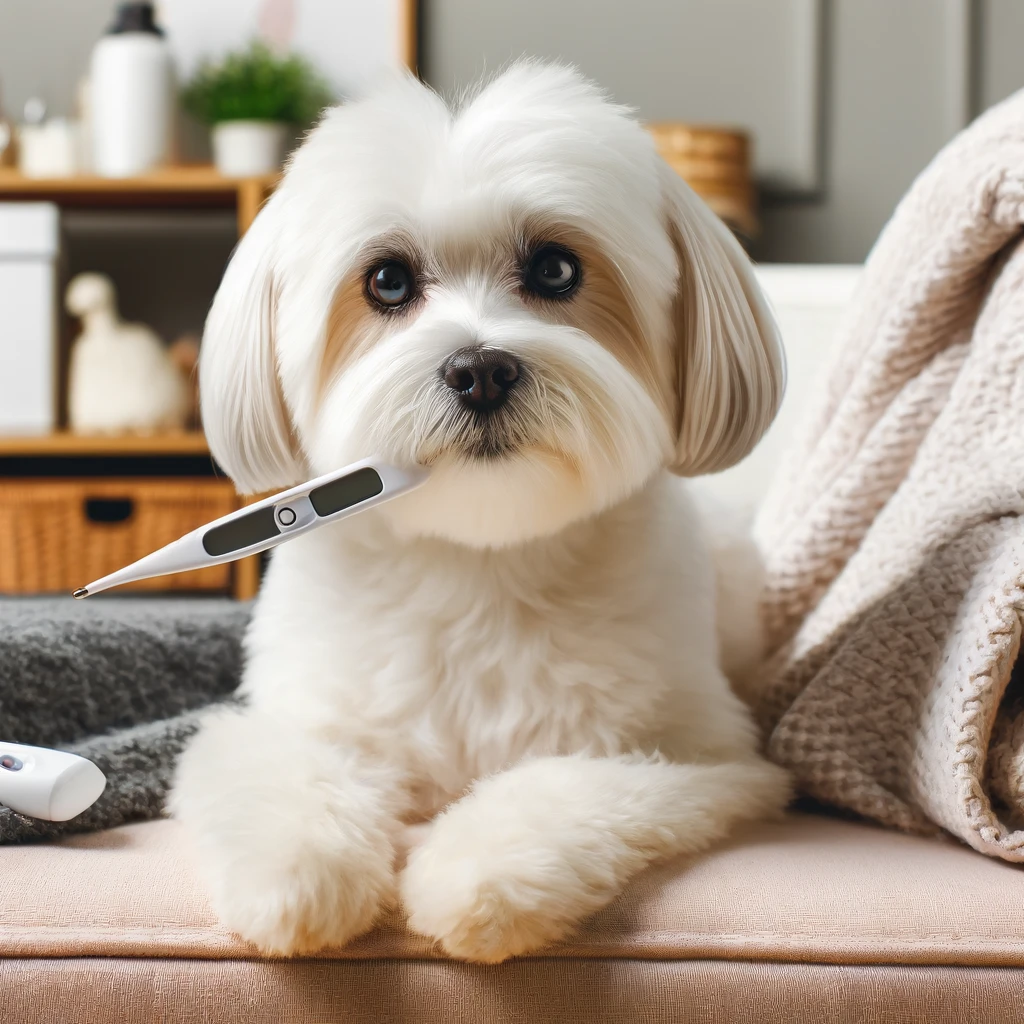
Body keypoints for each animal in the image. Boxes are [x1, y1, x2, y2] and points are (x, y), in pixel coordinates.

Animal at [172, 61, 786, 958]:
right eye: (388, 281)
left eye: (556, 270)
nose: (480, 371)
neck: (480, 561)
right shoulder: (299, 718)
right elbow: (279, 770)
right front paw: (299, 877)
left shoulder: (711, 760)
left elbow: (568, 784)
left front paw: (481, 875)